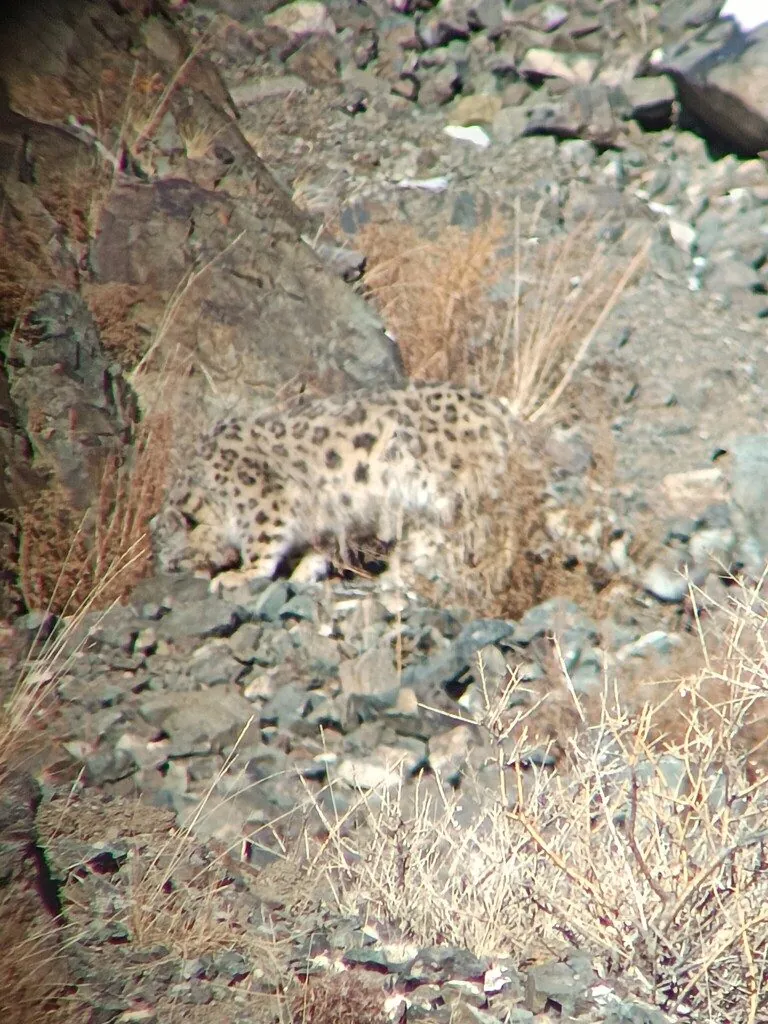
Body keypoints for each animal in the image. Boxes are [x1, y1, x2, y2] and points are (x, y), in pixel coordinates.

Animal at [151, 382, 524, 587]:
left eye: (173, 558)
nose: (168, 572)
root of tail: (496, 407)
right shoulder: (326, 518)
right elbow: (320, 548)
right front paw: (303, 574)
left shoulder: (266, 503)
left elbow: (262, 541)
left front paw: (241, 574)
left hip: (454, 491)